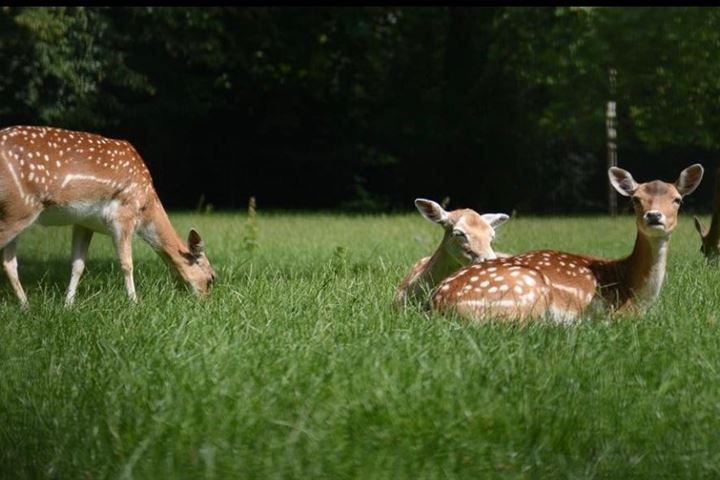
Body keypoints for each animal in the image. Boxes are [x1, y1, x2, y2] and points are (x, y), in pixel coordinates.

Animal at [0, 124, 217, 304]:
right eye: (211, 278)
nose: (205, 302)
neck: (146, 207)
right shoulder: (123, 215)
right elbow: (127, 263)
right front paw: (134, 302)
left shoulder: (84, 222)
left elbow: (78, 264)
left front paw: (68, 304)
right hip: (19, 208)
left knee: (9, 263)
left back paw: (26, 306)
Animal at [430, 165, 704, 322]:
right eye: (635, 199)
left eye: (677, 200)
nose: (654, 216)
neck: (637, 292)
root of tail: (436, 303)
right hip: (529, 291)